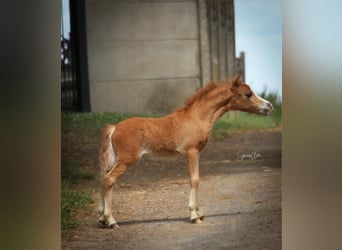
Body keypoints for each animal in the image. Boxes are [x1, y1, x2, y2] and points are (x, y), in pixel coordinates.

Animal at [97, 75, 272, 228]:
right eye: (248, 94)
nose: (269, 106)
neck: (196, 117)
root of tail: (114, 128)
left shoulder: (195, 153)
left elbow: (194, 179)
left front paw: (199, 213)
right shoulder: (191, 152)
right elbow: (195, 180)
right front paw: (194, 216)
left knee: (103, 178)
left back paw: (101, 218)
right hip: (127, 159)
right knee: (109, 179)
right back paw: (110, 220)